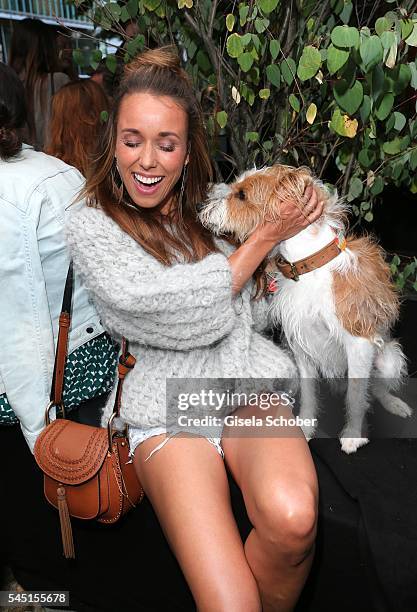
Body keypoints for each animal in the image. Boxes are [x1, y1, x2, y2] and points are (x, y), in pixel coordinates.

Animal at [197, 165, 410, 452]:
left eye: (241, 195)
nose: (201, 207)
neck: (308, 267)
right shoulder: (299, 343)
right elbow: (309, 395)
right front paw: (305, 427)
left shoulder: (358, 344)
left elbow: (355, 396)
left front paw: (353, 434)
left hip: (387, 360)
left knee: (375, 387)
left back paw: (394, 403)